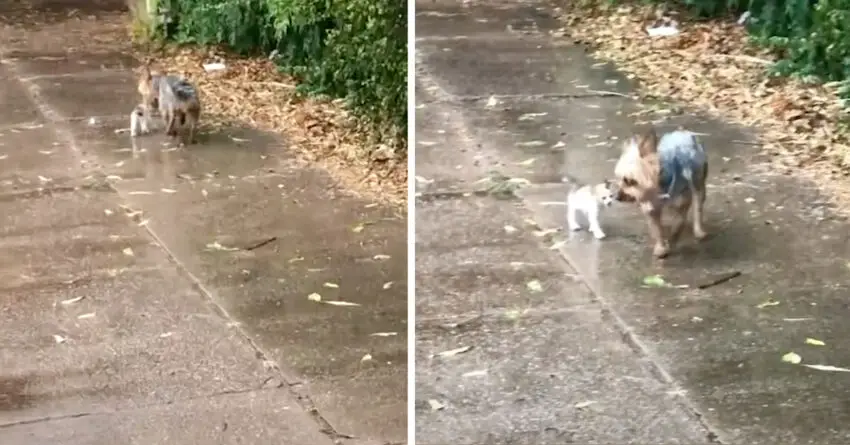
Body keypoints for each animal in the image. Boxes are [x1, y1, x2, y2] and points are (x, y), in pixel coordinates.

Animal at [612, 126, 704, 256]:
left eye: (630, 181)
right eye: (620, 180)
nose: (617, 197)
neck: (657, 189)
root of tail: (681, 131)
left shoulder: (682, 200)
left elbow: (679, 222)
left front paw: (673, 238)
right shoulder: (651, 208)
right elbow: (657, 229)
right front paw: (661, 247)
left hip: (698, 182)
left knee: (698, 206)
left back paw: (699, 231)